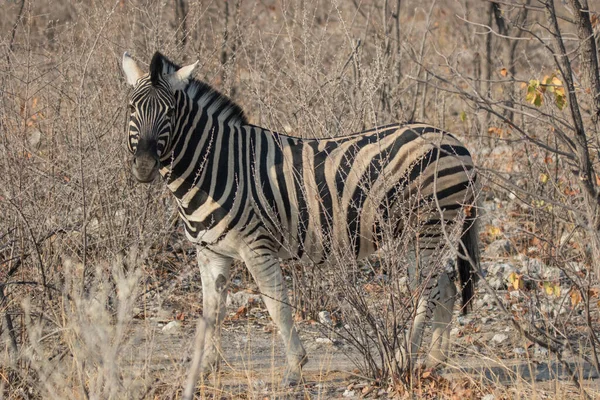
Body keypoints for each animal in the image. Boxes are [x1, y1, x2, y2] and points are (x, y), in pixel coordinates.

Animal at [120, 51, 478, 382]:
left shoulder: (256, 246)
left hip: (425, 227)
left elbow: (276, 305)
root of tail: (455, 140)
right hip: (427, 233)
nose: (144, 167)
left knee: (427, 293)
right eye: (131, 109)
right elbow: (212, 311)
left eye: (169, 112)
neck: (216, 167)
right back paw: (435, 360)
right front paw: (205, 368)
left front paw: (295, 367)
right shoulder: (210, 253)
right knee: (445, 287)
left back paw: (404, 359)